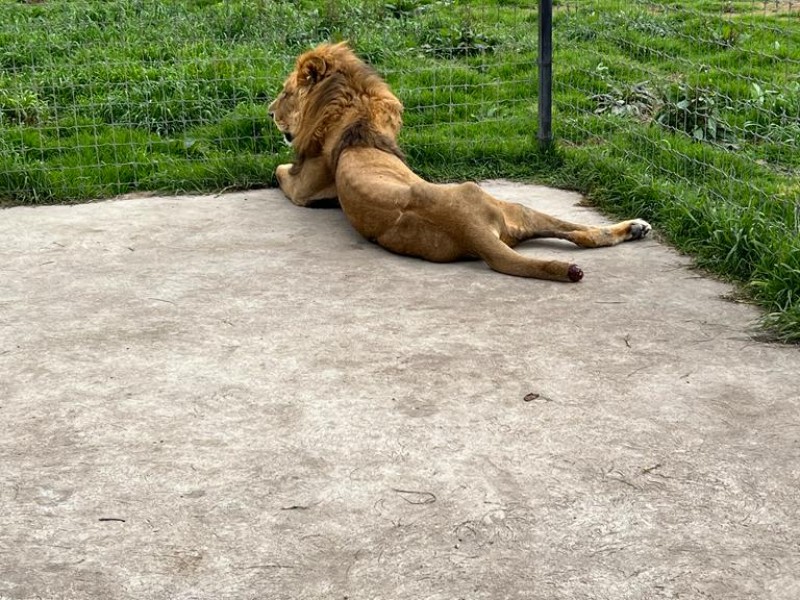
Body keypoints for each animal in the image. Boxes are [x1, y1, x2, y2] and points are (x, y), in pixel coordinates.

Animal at [268, 42, 648, 282]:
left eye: (285, 93)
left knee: (582, 233)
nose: (269, 112)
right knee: (585, 235)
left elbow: (278, 169)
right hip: (516, 212)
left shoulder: (304, 189)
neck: (354, 109)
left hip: (503, 203)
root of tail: (470, 228)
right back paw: (635, 228)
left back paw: (635, 227)